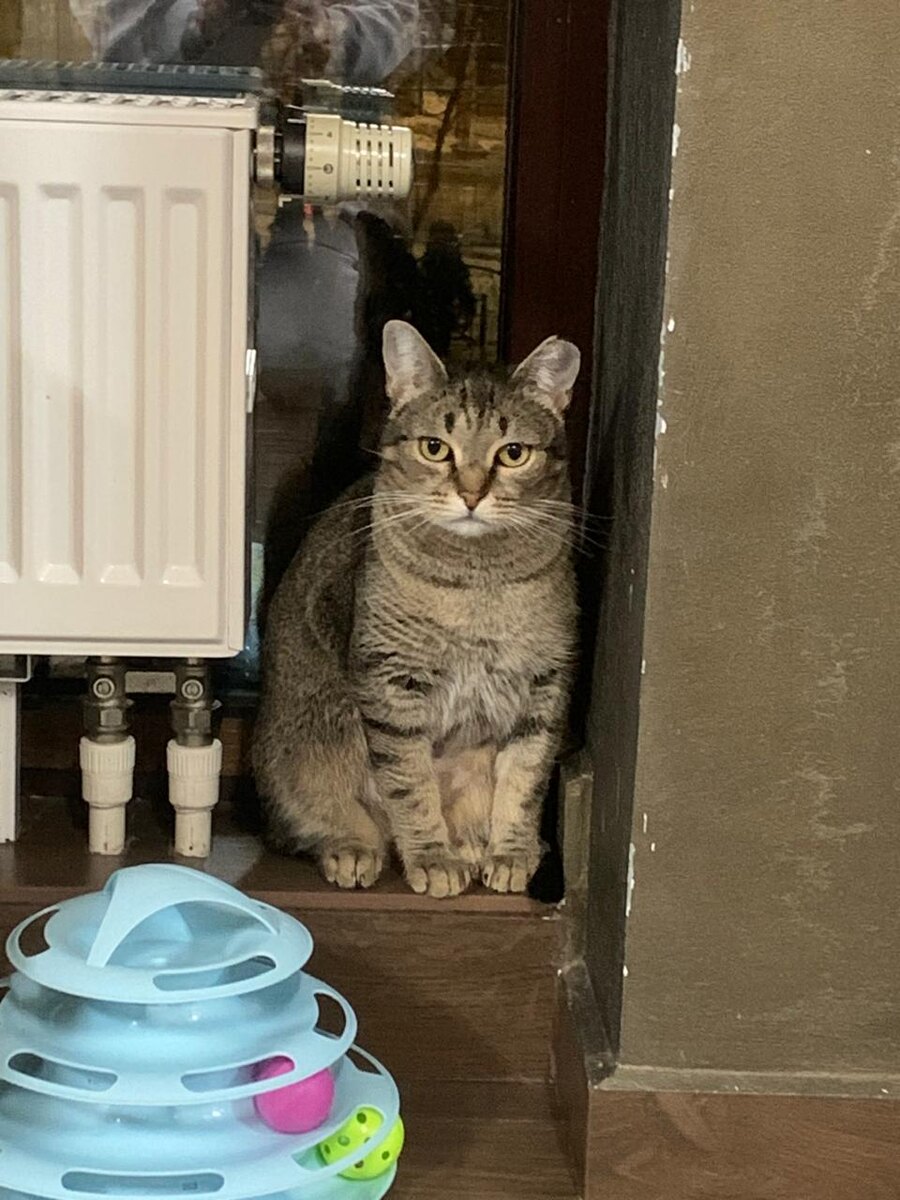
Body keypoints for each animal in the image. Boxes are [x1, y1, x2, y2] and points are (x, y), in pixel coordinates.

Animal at [253, 320, 580, 897]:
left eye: (513, 453)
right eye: (435, 448)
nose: (471, 494)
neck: (476, 584)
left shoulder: (545, 685)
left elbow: (524, 780)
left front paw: (511, 852)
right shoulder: (391, 684)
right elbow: (410, 784)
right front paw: (432, 857)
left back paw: (472, 844)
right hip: (318, 736)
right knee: (315, 820)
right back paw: (353, 848)